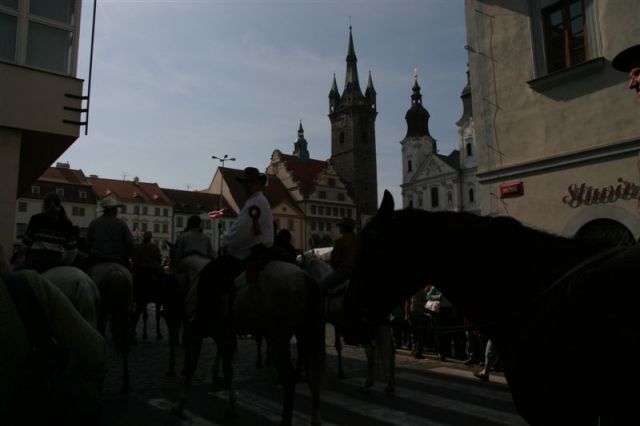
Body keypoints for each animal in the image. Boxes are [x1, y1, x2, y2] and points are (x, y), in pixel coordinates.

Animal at [86, 262, 134, 392]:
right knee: (124, 344)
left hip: (104, 312)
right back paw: (126, 382)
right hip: (124, 313)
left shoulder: (100, 315)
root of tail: (118, 275)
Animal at [175, 260, 324, 426]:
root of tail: (304, 277)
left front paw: (181, 404)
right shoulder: (224, 335)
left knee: (289, 379)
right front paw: (232, 406)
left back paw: (285, 421)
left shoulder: (197, 334)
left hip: (277, 340)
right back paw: (315, 421)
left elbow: (191, 368)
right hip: (306, 335)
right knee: (313, 379)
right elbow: (228, 369)